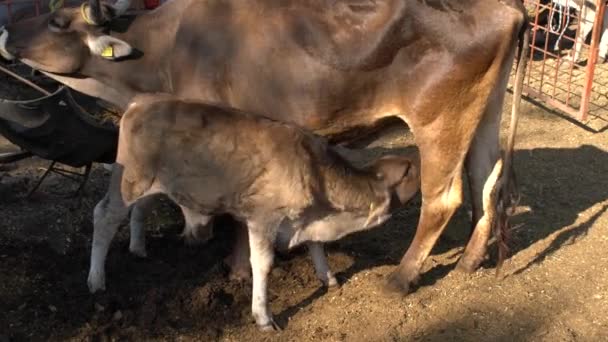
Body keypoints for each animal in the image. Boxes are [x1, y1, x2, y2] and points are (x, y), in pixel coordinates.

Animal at [0, 0, 528, 294]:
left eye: (57, 20)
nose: (5, 31)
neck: (168, 47)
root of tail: (510, 10)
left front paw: (234, 268)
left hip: (440, 121)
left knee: (444, 198)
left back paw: (401, 278)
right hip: (482, 114)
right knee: (485, 183)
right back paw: (470, 260)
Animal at [90, 95, 420, 330]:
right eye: (410, 172)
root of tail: (141, 101)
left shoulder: (307, 219)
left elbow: (317, 247)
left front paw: (329, 279)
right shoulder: (263, 218)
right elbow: (263, 264)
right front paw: (263, 316)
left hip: (153, 183)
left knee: (140, 209)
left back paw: (138, 248)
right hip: (129, 180)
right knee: (104, 216)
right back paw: (96, 280)